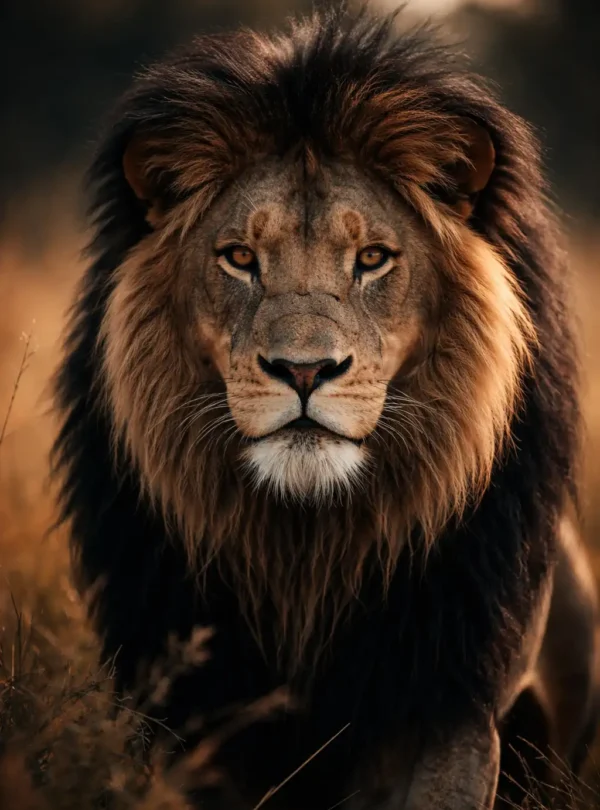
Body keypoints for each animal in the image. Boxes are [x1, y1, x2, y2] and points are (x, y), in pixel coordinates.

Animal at [53, 8, 599, 809]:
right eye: (239, 258)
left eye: (372, 258)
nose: (304, 370)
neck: (307, 550)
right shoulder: (186, 711)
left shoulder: (449, 705)